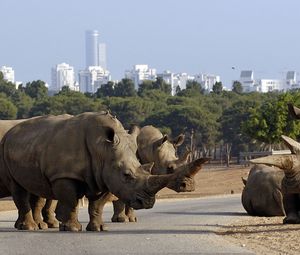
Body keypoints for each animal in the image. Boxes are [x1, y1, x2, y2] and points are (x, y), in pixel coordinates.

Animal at [0, 112, 204, 231]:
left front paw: (100, 228)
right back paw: (31, 228)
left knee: (36, 190)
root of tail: (12, 133)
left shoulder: (105, 174)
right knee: (20, 190)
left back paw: (41, 225)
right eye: (170, 168)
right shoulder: (64, 175)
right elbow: (71, 200)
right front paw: (72, 228)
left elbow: (98, 204)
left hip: (30, 147)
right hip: (11, 152)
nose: (148, 203)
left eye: (148, 170)